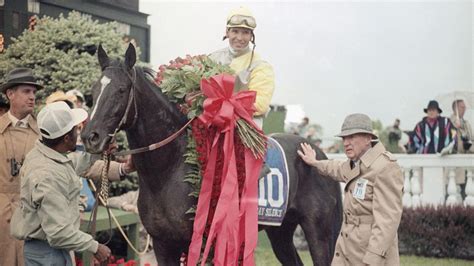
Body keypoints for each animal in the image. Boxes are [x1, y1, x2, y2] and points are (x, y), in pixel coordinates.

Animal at [81, 44, 340, 264]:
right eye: (93, 89)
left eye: (121, 90)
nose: (89, 136)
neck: (169, 171)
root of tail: (320, 155)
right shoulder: (163, 244)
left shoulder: (205, 245)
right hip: (281, 232)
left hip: (320, 235)